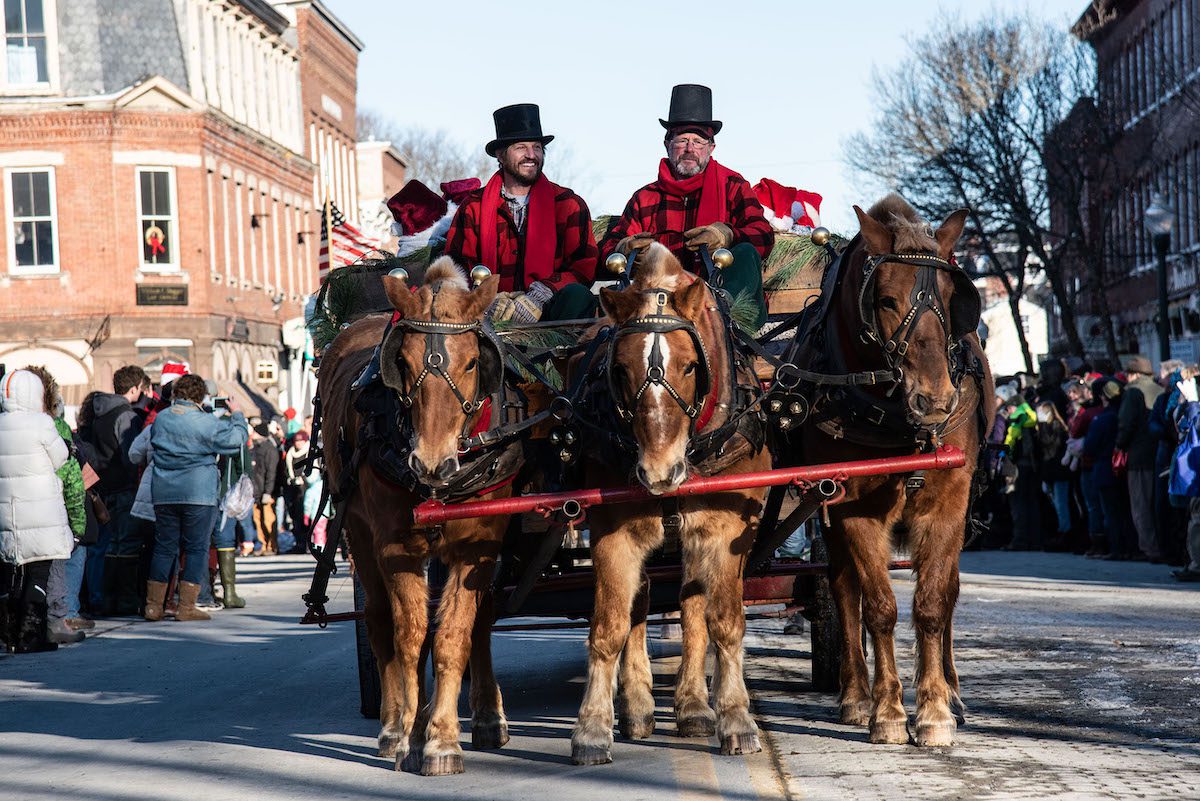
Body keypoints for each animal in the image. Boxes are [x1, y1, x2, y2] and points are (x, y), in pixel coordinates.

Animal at [316, 260, 513, 772]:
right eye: (401, 363)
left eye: (472, 362)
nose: (430, 463)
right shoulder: (396, 545)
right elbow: (409, 635)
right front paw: (410, 733)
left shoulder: (478, 546)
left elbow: (453, 636)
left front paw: (442, 739)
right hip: (358, 533)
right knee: (380, 619)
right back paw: (395, 725)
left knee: (473, 622)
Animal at [564, 242, 768, 762]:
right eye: (620, 369)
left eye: (691, 366)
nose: (659, 472)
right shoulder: (612, 533)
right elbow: (609, 627)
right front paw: (592, 726)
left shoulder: (728, 532)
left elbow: (723, 623)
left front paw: (736, 718)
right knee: (639, 604)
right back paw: (638, 707)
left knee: (691, 609)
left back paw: (694, 706)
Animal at [787, 196, 993, 748]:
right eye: (885, 300)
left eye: (953, 297)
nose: (936, 399)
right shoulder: (853, 509)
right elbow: (877, 607)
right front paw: (887, 710)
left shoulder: (950, 502)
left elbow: (933, 603)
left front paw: (936, 710)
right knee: (844, 590)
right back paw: (857, 694)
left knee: (947, 592)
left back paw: (952, 690)